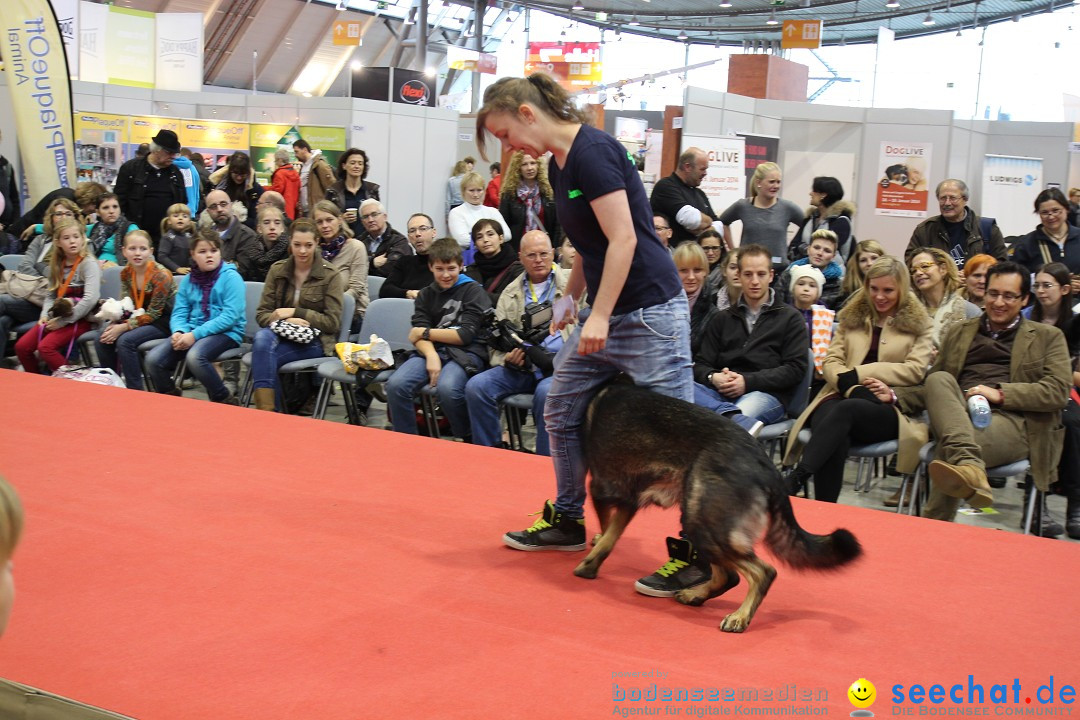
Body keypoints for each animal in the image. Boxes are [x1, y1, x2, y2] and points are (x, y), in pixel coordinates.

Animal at [574, 386, 859, 634]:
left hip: (701, 521)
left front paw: (591, 561)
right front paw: (595, 555)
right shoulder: (627, 500)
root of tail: (768, 466)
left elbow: (606, 528)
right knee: (729, 576)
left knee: (762, 572)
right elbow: (610, 533)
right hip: (701, 521)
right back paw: (696, 595)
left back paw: (740, 616)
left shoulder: (602, 488)